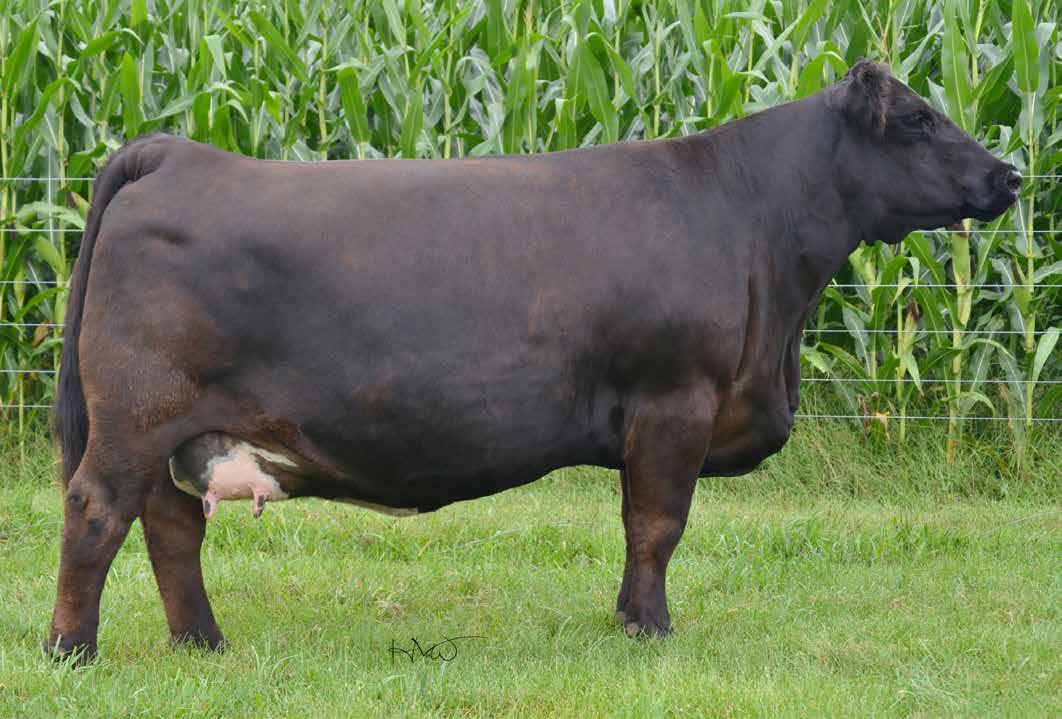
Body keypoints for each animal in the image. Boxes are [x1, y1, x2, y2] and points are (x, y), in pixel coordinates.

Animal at [46, 61, 1020, 660]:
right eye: (920, 118)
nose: (1010, 175)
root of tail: (178, 151)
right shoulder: (675, 400)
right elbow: (656, 525)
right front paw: (649, 628)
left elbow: (643, 525)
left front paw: (631, 619)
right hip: (136, 412)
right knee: (97, 510)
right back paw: (71, 649)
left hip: (176, 427)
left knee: (171, 524)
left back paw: (201, 641)